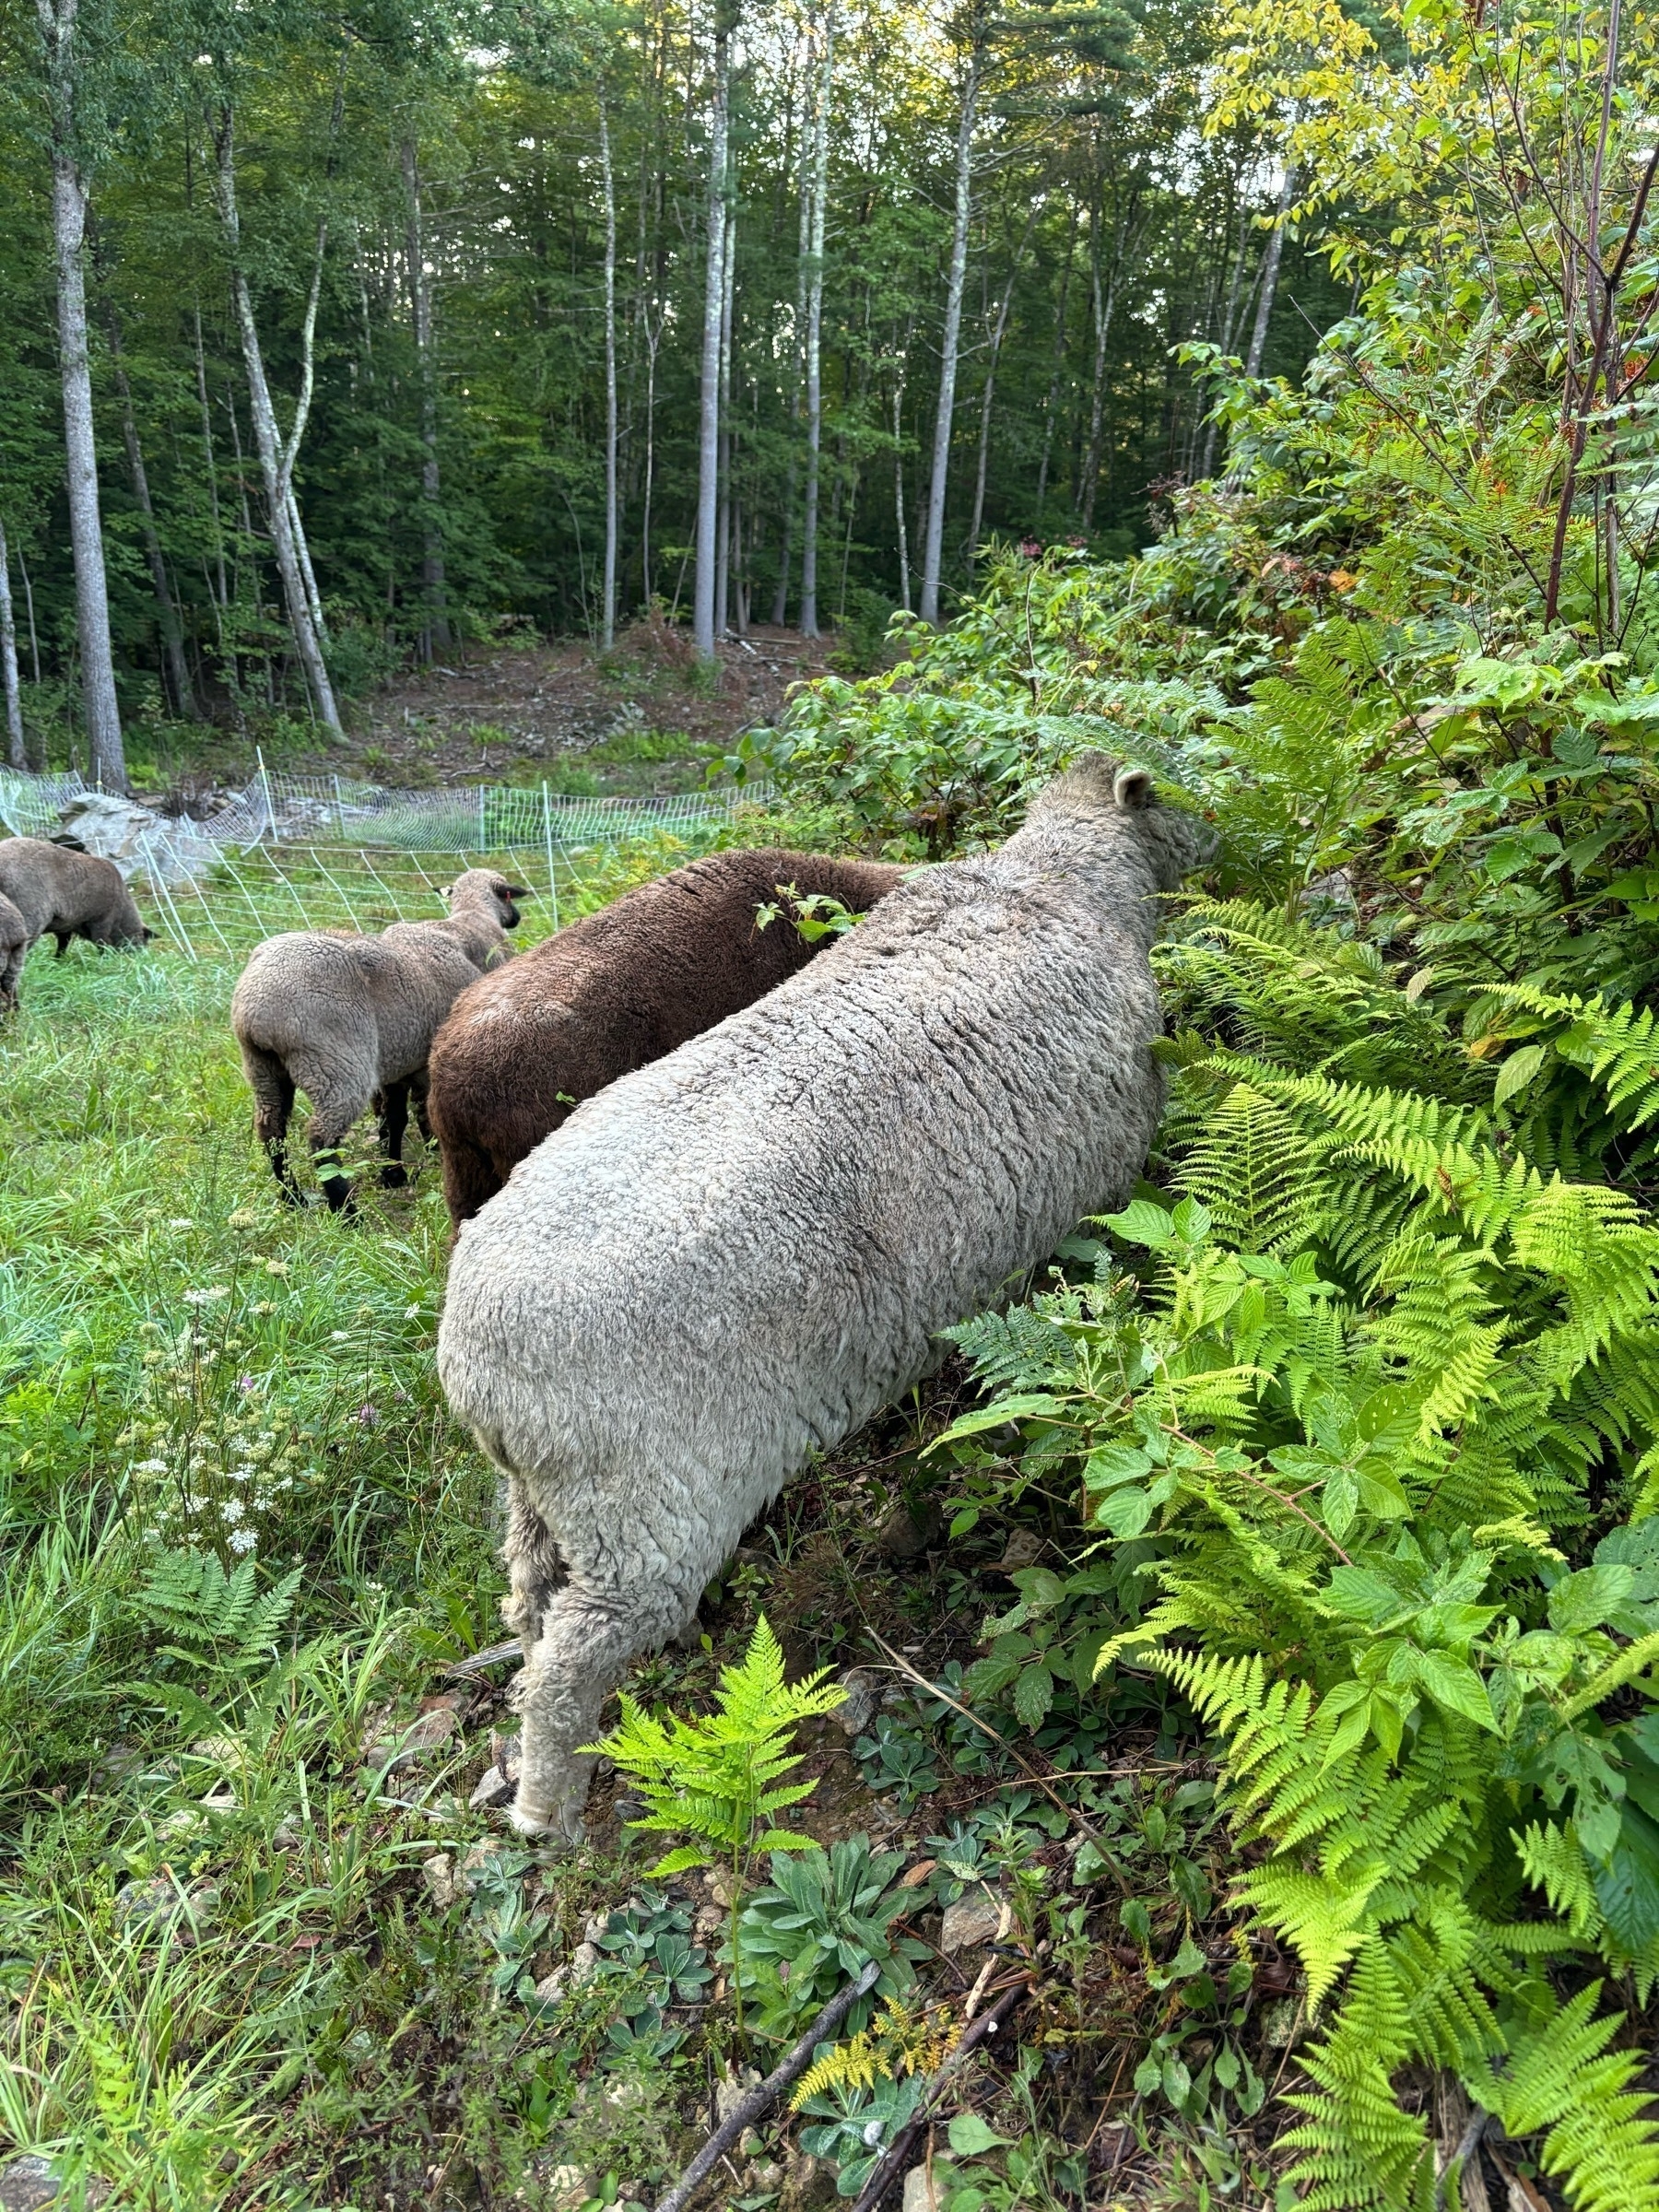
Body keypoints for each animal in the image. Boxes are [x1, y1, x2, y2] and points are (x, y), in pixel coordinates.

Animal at [0, 831, 150, 964]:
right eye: (143, 942)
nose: (140, 959)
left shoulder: (66, 925)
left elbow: (63, 944)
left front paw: (57, 962)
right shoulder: (102, 920)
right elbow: (102, 944)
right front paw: (105, 963)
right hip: (32, 914)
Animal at [232, 863, 526, 1212]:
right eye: (508, 895)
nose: (517, 918)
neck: (471, 920)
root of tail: (256, 1004)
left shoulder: (400, 1059)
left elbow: (394, 1119)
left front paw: (393, 1172)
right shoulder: (423, 1063)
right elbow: (418, 1113)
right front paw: (418, 1158)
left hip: (262, 1066)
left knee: (271, 1129)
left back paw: (292, 1197)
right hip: (335, 1062)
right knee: (321, 1138)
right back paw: (346, 1210)